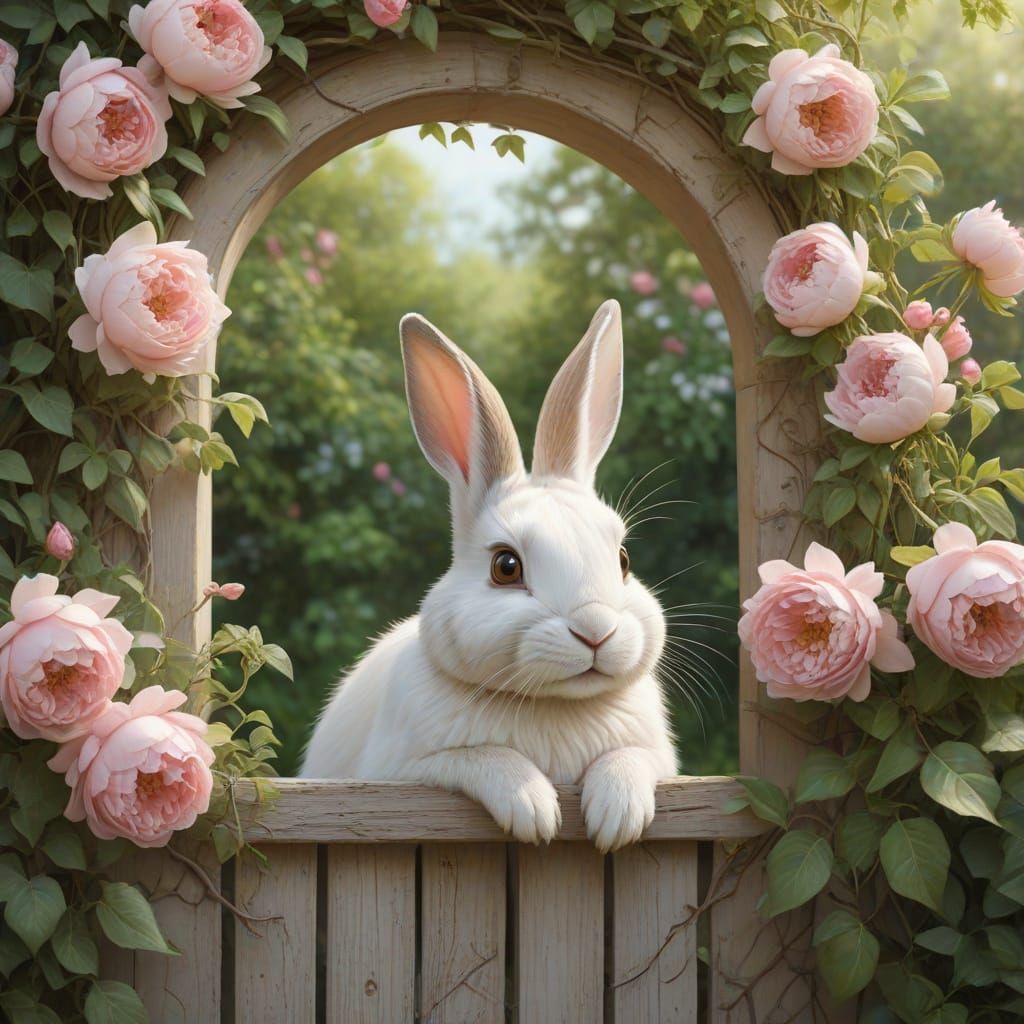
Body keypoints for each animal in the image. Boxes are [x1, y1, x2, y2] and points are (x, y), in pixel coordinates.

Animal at [301, 299, 678, 852]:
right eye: (506, 566)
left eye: (623, 560)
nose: (596, 631)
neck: (555, 707)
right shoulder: (403, 772)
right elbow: (482, 758)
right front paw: (534, 811)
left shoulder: (658, 758)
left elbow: (631, 760)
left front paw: (618, 815)